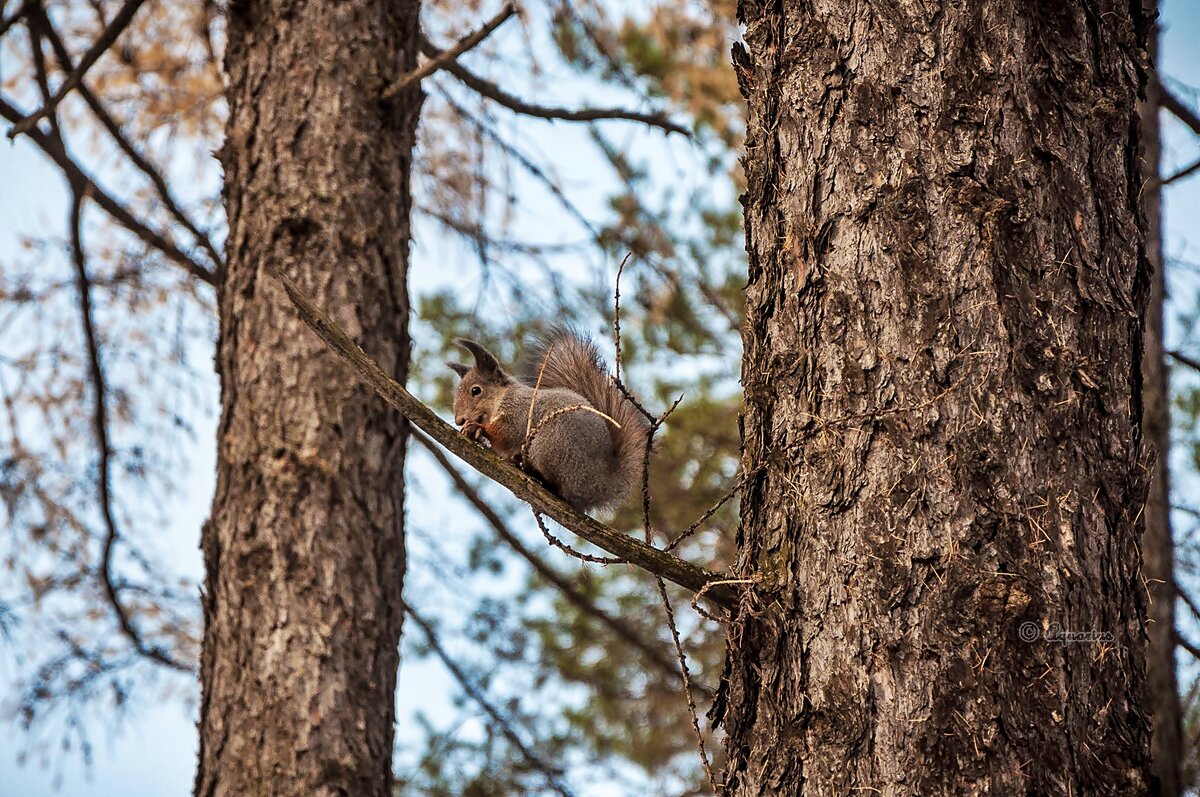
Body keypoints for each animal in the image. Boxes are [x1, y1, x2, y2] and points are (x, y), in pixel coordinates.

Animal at [446, 328, 648, 511]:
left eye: (476, 390)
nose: (459, 420)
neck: (501, 398)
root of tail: (601, 486)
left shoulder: (519, 412)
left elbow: (505, 433)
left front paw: (477, 427)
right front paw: (474, 432)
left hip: (549, 445)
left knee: (559, 487)